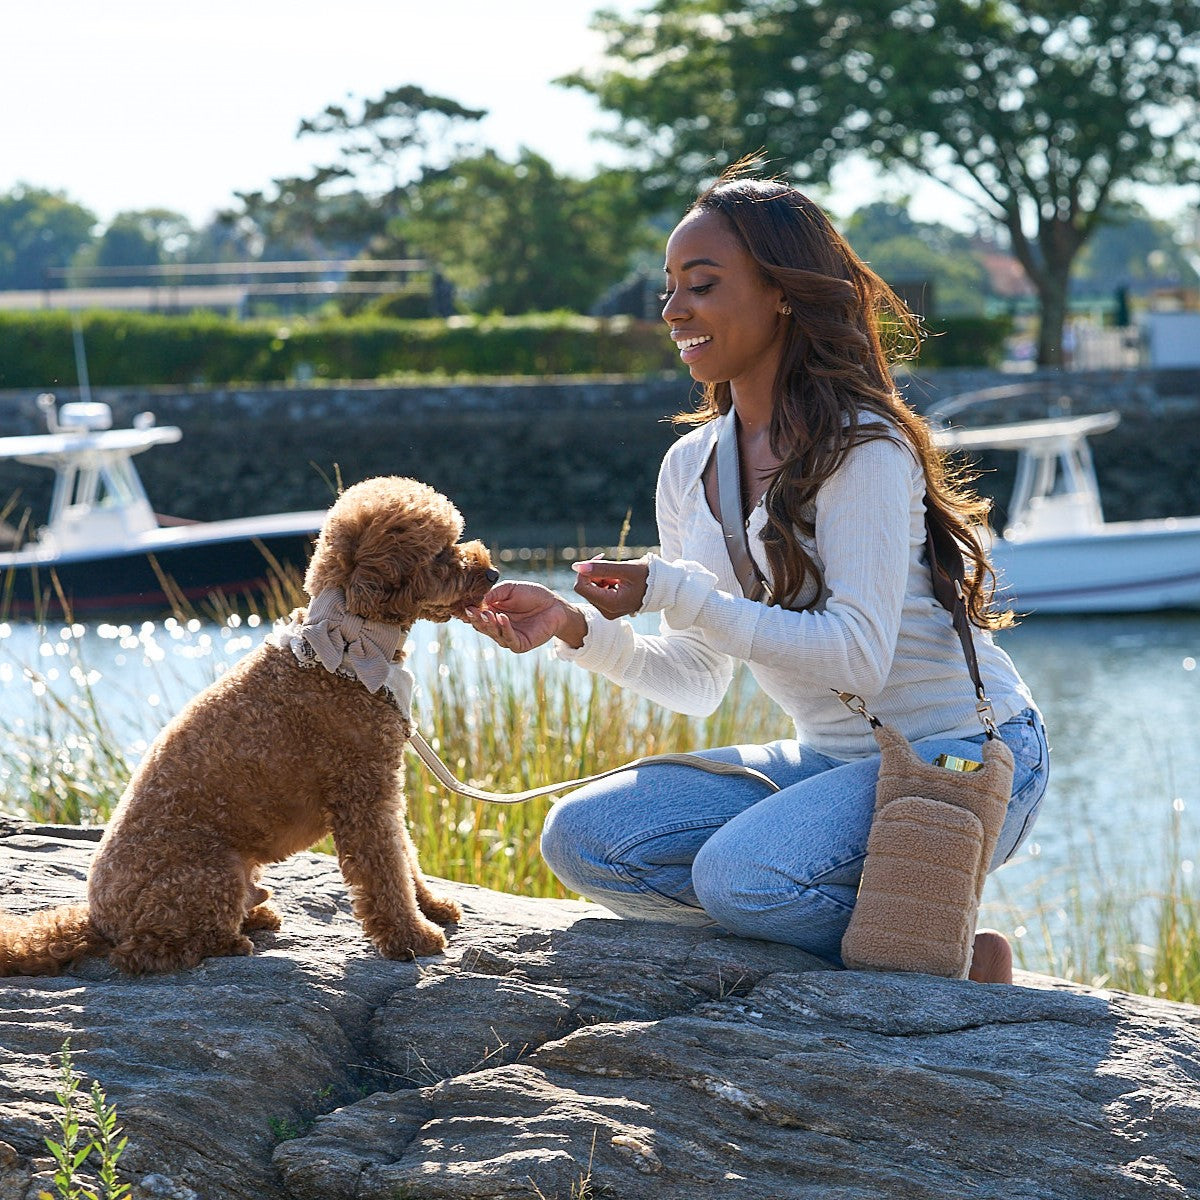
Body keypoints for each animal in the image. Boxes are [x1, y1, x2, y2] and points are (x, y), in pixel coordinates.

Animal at [0, 475, 496, 974]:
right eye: (441, 553)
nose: (492, 573)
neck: (347, 649)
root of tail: (97, 919)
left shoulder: (382, 788)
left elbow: (406, 856)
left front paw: (433, 906)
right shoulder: (362, 793)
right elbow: (386, 871)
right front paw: (411, 936)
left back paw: (255, 915)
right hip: (208, 873)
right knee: (149, 951)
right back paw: (233, 940)